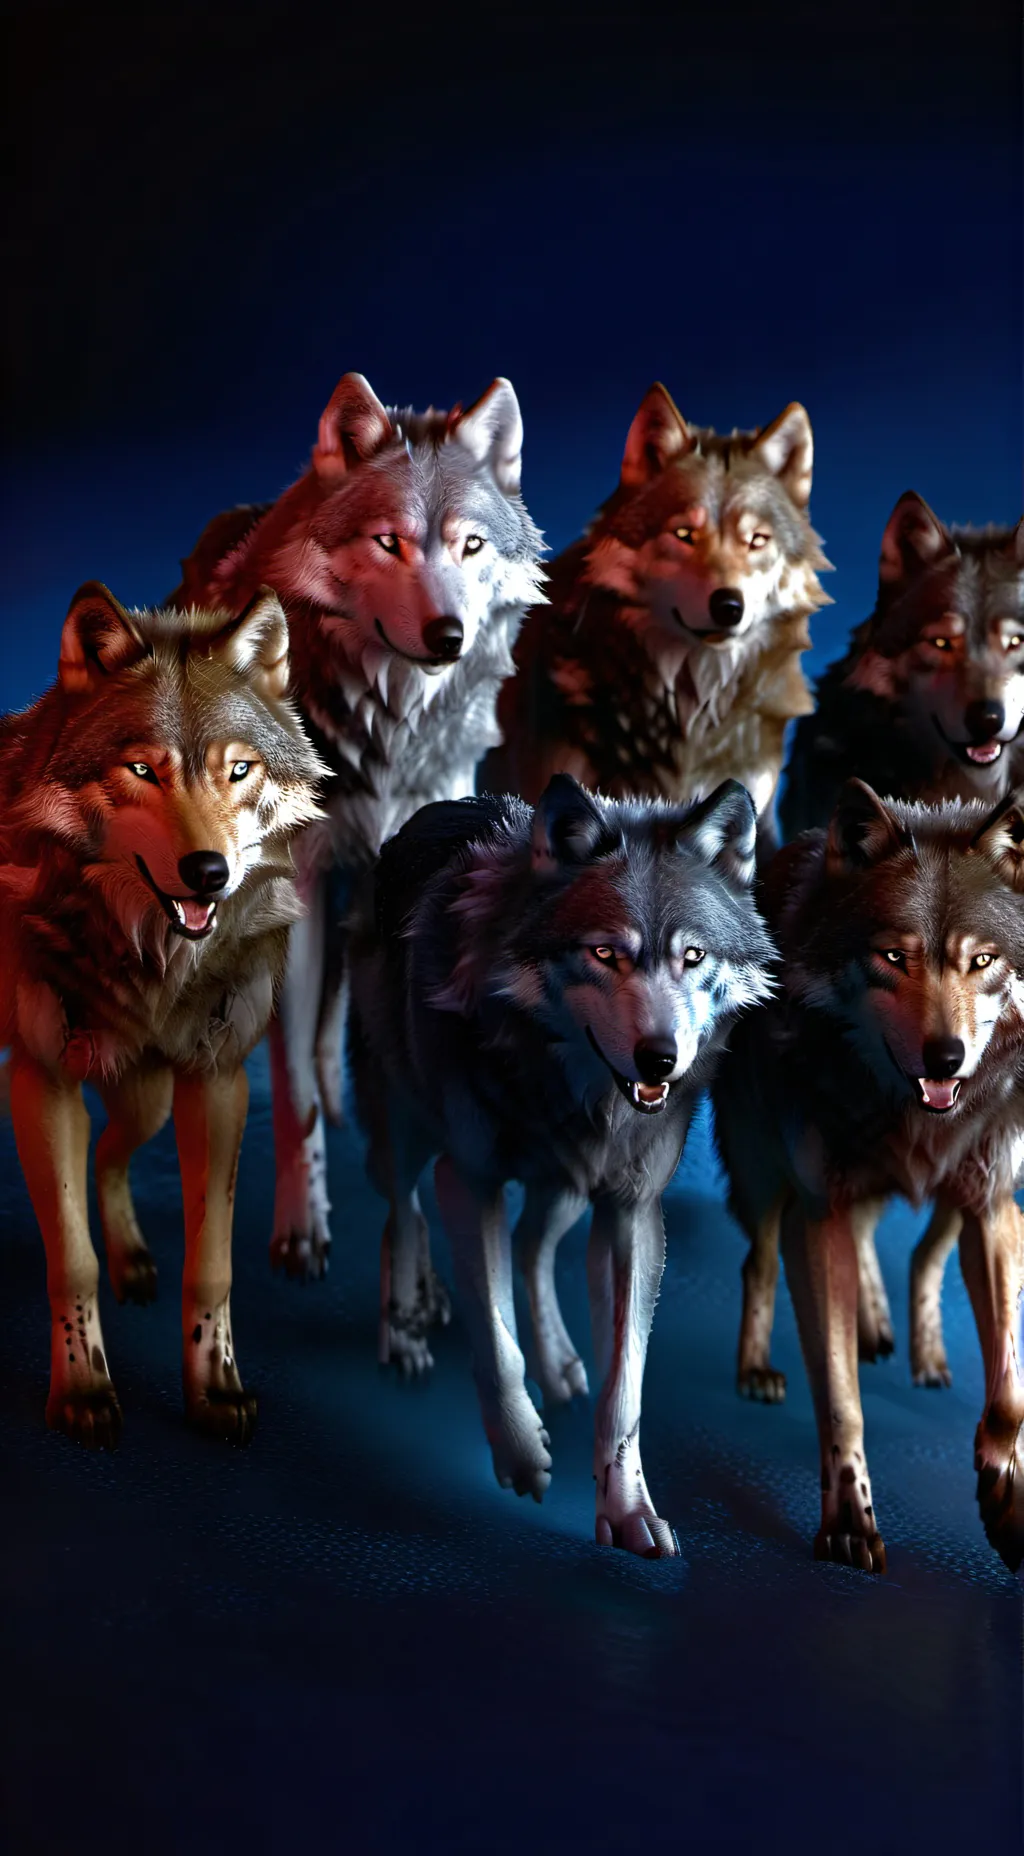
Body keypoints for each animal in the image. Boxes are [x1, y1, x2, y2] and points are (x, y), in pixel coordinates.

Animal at [0, 582, 324, 1447]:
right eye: (143, 768)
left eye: (238, 770)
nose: (208, 872)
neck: (152, 962)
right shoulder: (40, 1080)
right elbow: (70, 1260)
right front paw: (82, 1389)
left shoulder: (217, 1082)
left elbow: (211, 1266)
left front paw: (214, 1388)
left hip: (145, 1095)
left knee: (111, 1154)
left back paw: (135, 1260)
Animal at [171, 372, 544, 1288]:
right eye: (388, 542)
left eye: (470, 546)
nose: (448, 635)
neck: (386, 730)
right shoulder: (298, 896)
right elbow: (293, 1091)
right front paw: (302, 1229)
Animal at [348, 774, 775, 1547]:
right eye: (607, 955)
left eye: (694, 957)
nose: (660, 1059)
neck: (570, 1093)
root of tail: (441, 807)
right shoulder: (471, 1180)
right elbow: (496, 1342)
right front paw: (521, 1454)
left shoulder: (632, 1212)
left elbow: (624, 1390)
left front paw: (628, 1510)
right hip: (408, 1126)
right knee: (402, 1209)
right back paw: (406, 1327)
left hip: (568, 1191)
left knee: (529, 1247)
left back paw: (556, 1361)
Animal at [713, 778, 1024, 1574]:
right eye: (893, 956)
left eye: (982, 961)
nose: (946, 1057)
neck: (912, 1118)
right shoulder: (817, 1210)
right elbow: (840, 1400)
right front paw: (850, 1522)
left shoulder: (991, 1206)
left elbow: (1009, 1388)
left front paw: (1004, 1493)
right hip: (766, 1177)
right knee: (759, 1261)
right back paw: (757, 1369)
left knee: (915, 1252)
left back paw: (909, 1342)